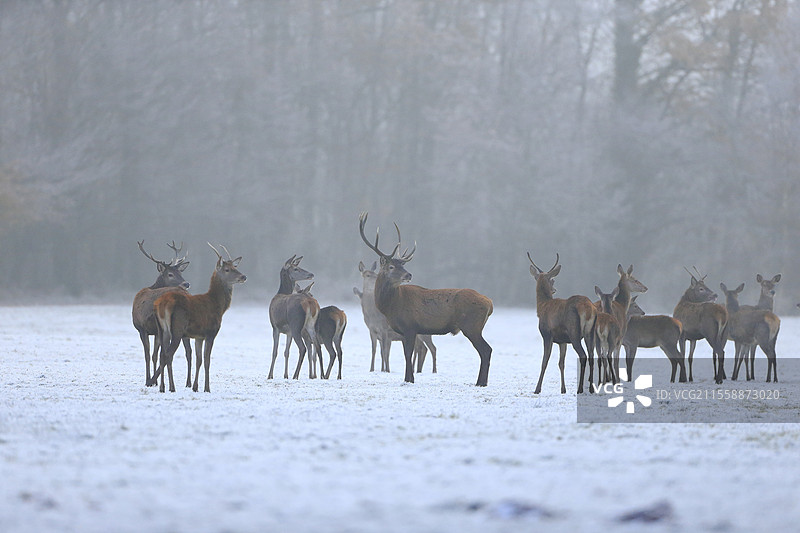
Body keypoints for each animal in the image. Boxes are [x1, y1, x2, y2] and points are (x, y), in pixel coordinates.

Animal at [132, 240, 192, 387]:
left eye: (180, 272)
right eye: (170, 274)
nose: (186, 283)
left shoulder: (141, 328)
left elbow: (148, 355)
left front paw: (149, 380)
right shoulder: (151, 331)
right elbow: (153, 355)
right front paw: (154, 381)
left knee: (170, 353)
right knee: (188, 352)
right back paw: (187, 383)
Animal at [148, 244, 246, 392]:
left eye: (235, 267)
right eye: (227, 269)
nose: (243, 276)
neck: (218, 307)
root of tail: (162, 303)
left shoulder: (199, 336)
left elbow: (198, 360)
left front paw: (195, 387)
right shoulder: (211, 333)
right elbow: (207, 360)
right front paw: (207, 388)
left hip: (162, 330)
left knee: (161, 355)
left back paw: (162, 387)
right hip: (177, 330)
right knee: (168, 354)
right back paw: (172, 387)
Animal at [358, 213, 493, 386]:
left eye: (402, 265)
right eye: (392, 266)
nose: (408, 275)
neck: (390, 306)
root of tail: (489, 303)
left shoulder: (409, 326)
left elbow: (408, 353)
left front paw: (409, 379)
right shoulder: (406, 331)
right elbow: (406, 353)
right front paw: (409, 378)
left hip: (471, 325)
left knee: (486, 350)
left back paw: (480, 382)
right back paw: (481, 382)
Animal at [528, 253, 596, 394]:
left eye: (552, 279)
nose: (554, 289)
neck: (541, 307)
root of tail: (588, 308)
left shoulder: (547, 335)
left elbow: (545, 361)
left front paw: (537, 389)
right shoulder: (562, 341)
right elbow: (561, 363)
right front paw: (563, 389)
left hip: (574, 332)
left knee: (583, 356)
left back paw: (580, 389)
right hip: (590, 333)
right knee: (592, 356)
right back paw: (592, 388)